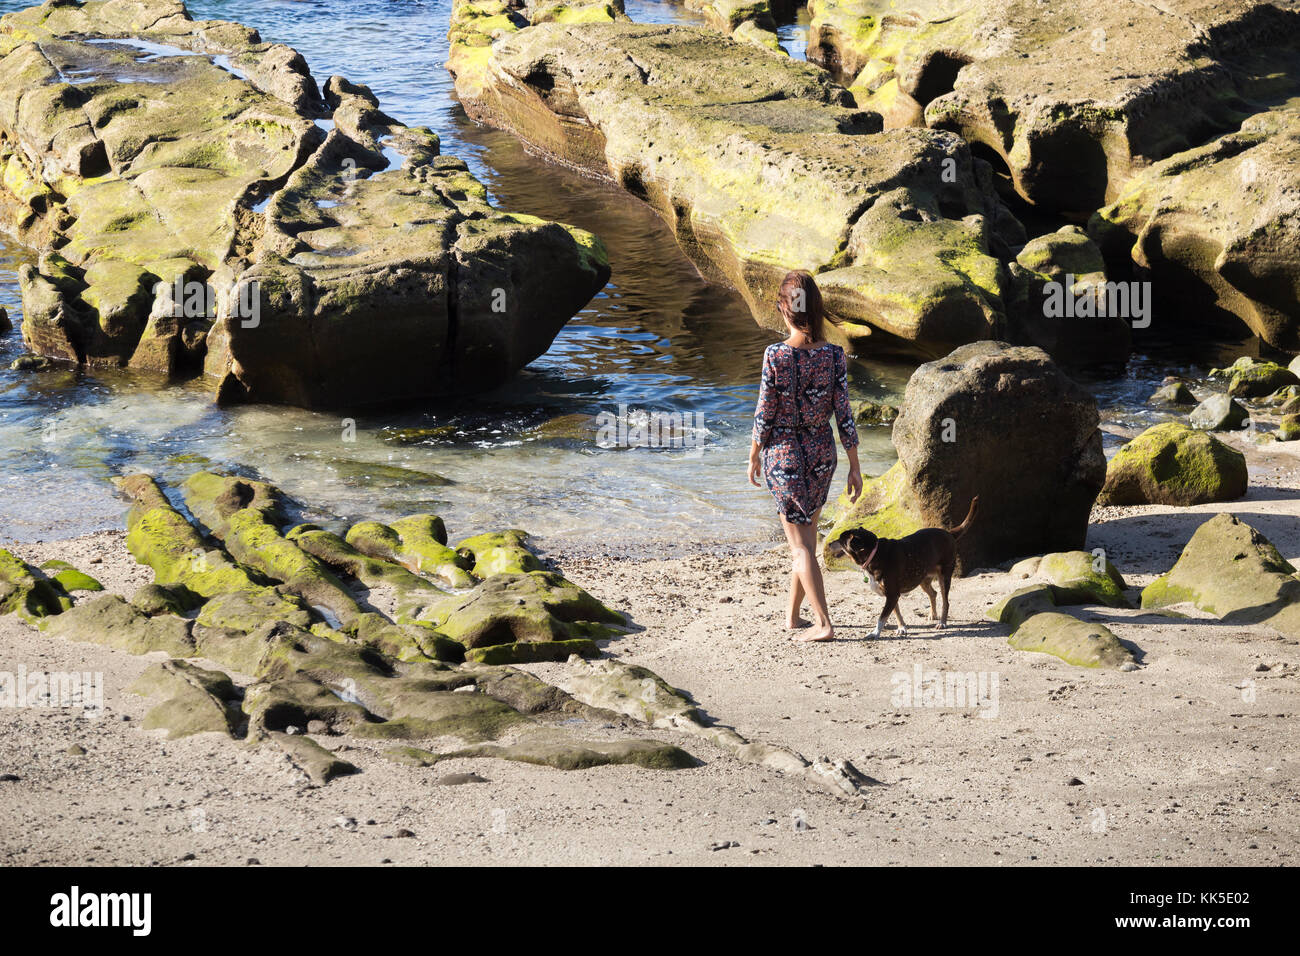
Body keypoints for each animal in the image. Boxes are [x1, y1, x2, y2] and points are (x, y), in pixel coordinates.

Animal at [826, 496, 977, 639]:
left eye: (840, 540)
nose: (828, 544)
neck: (874, 553)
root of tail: (949, 533)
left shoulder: (892, 594)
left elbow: (882, 617)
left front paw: (875, 633)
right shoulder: (892, 594)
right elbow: (896, 612)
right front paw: (901, 628)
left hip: (944, 576)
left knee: (946, 601)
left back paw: (942, 622)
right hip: (922, 578)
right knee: (933, 593)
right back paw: (933, 615)